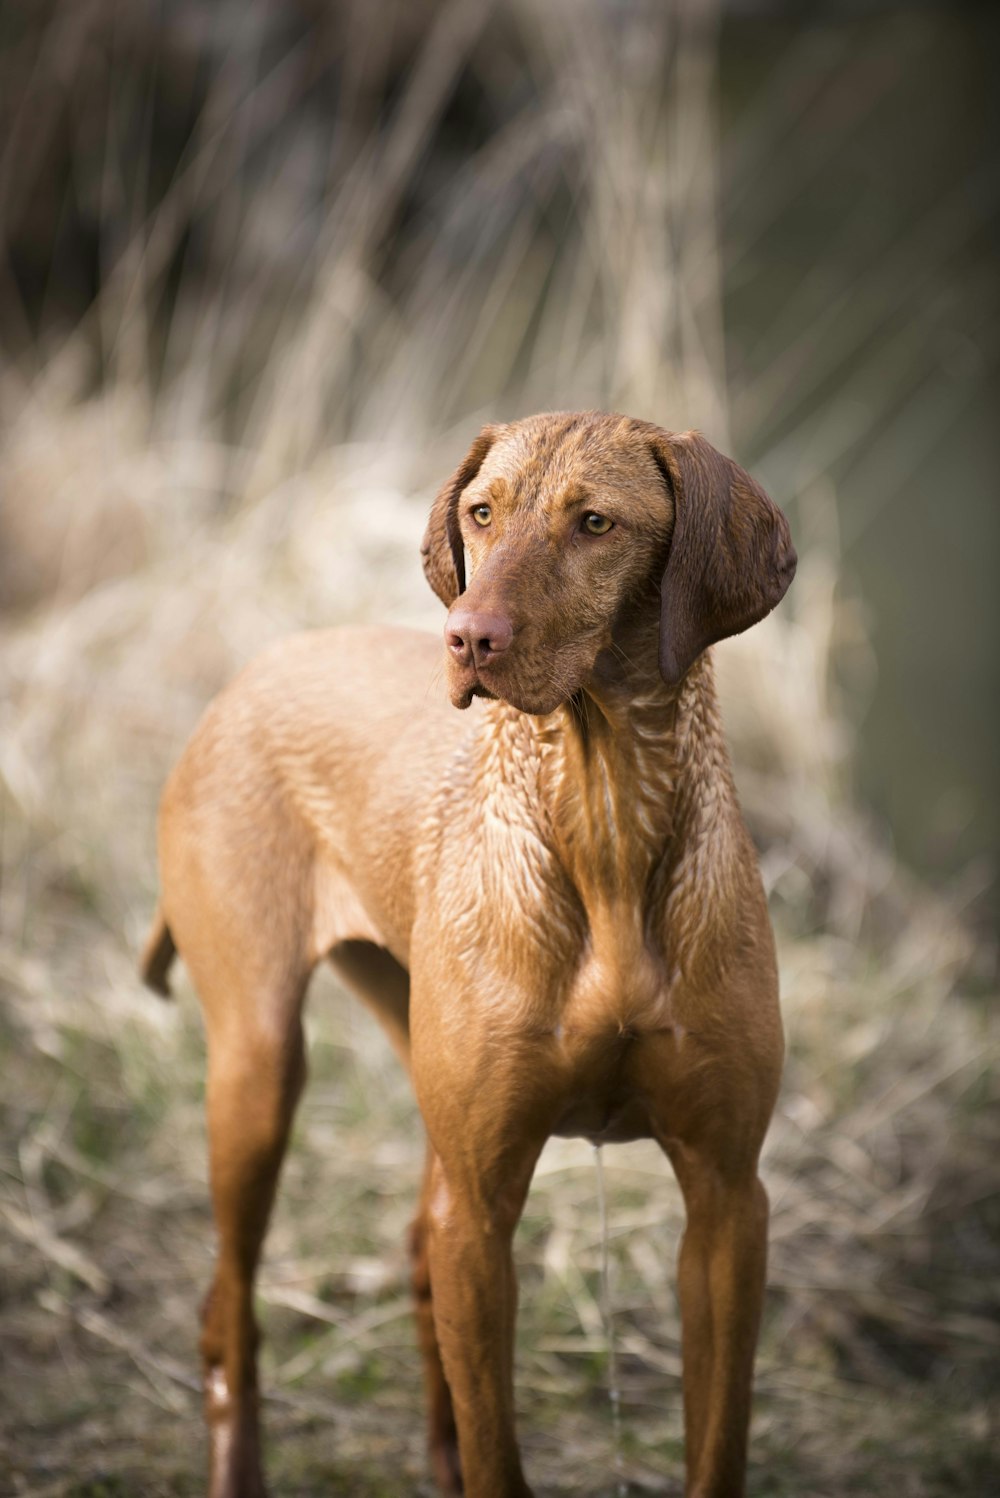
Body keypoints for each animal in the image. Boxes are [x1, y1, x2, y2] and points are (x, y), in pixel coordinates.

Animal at [140, 410, 796, 1498]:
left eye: (595, 522)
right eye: (482, 513)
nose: (468, 638)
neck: (601, 817)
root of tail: (249, 675)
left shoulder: (726, 1203)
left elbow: (720, 1444)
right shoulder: (484, 1210)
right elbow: (500, 1453)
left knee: (411, 1261)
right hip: (258, 1070)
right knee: (229, 1310)